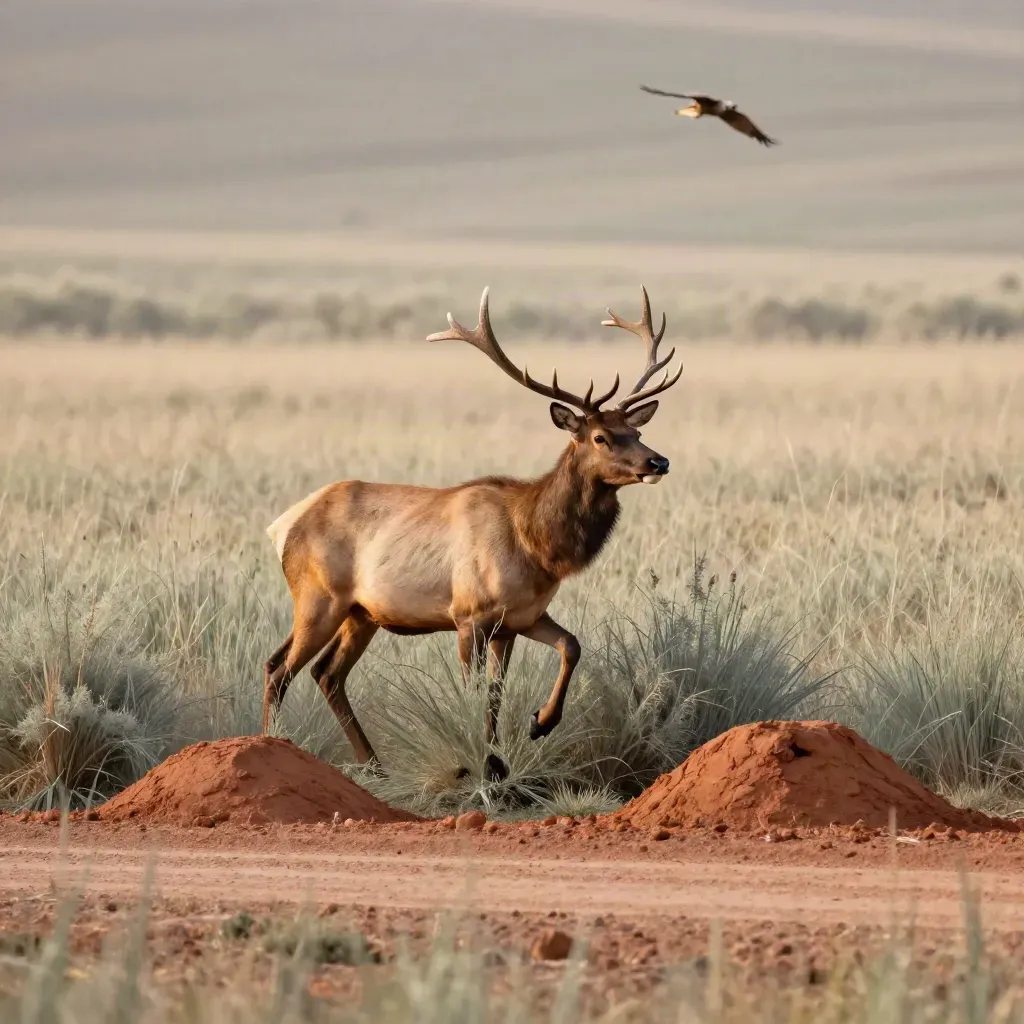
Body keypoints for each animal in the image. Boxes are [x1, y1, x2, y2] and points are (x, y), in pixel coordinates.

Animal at [261, 285, 683, 782]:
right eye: (601, 437)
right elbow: (476, 694)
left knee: (326, 673)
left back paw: (374, 765)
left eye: (635, 430)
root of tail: (283, 525)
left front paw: (534, 728)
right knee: (279, 668)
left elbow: (564, 650)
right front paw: (480, 763)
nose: (658, 461)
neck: (535, 546)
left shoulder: (518, 619)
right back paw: (272, 745)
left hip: (361, 613)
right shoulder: (468, 616)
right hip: (317, 598)